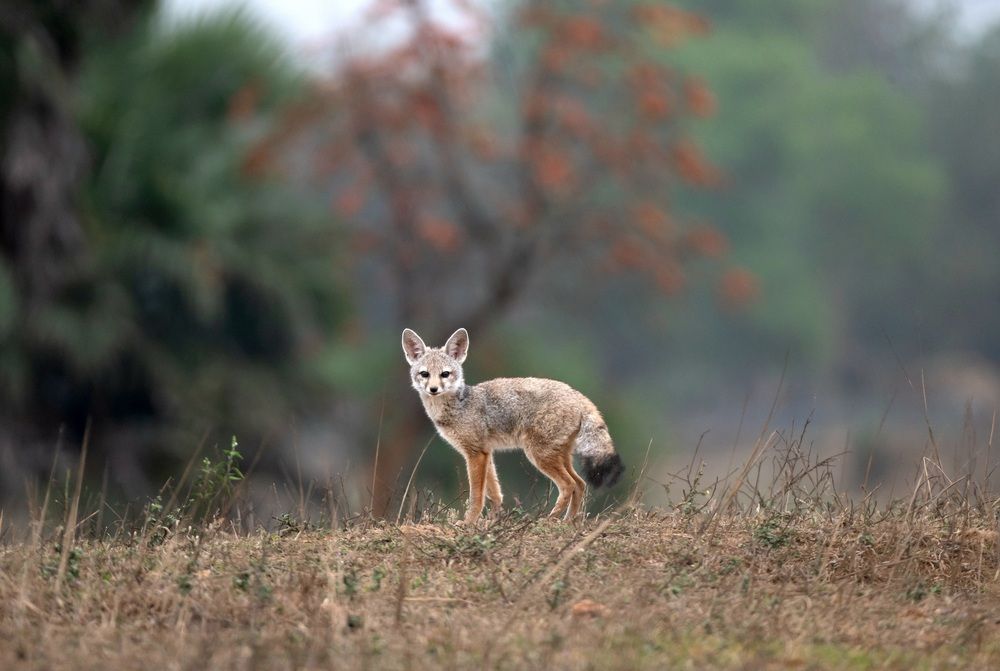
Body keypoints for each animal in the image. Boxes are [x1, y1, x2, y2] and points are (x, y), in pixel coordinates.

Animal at [401, 327, 624, 524]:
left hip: (539, 456)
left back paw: (548, 520)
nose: (433, 389)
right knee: (580, 484)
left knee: (569, 485)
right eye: (425, 374)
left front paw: (468, 523)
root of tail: (577, 395)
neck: (459, 405)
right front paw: (492, 521)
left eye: (445, 374)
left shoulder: (475, 454)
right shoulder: (486, 453)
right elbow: (495, 494)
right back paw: (568, 522)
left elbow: (476, 496)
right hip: (559, 456)